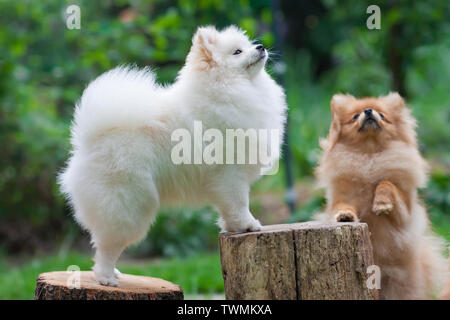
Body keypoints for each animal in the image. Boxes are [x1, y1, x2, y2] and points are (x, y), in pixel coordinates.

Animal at [59, 25, 284, 284]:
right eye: (238, 51)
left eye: (248, 45)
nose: (261, 47)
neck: (229, 89)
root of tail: (88, 141)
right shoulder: (230, 175)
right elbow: (239, 204)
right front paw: (249, 225)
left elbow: (229, 209)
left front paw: (233, 228)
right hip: (127, 205)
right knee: (107, 247)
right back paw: (106, 278)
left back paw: (112, 273)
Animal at [316, 93, 446, 300]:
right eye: (355, 116)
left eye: (382, 115)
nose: (368, 111)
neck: (370, 156)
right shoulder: (341, 198)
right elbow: (342, 206)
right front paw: (345, 215)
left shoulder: (404, 213)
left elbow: (386, 184)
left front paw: (381, 204)